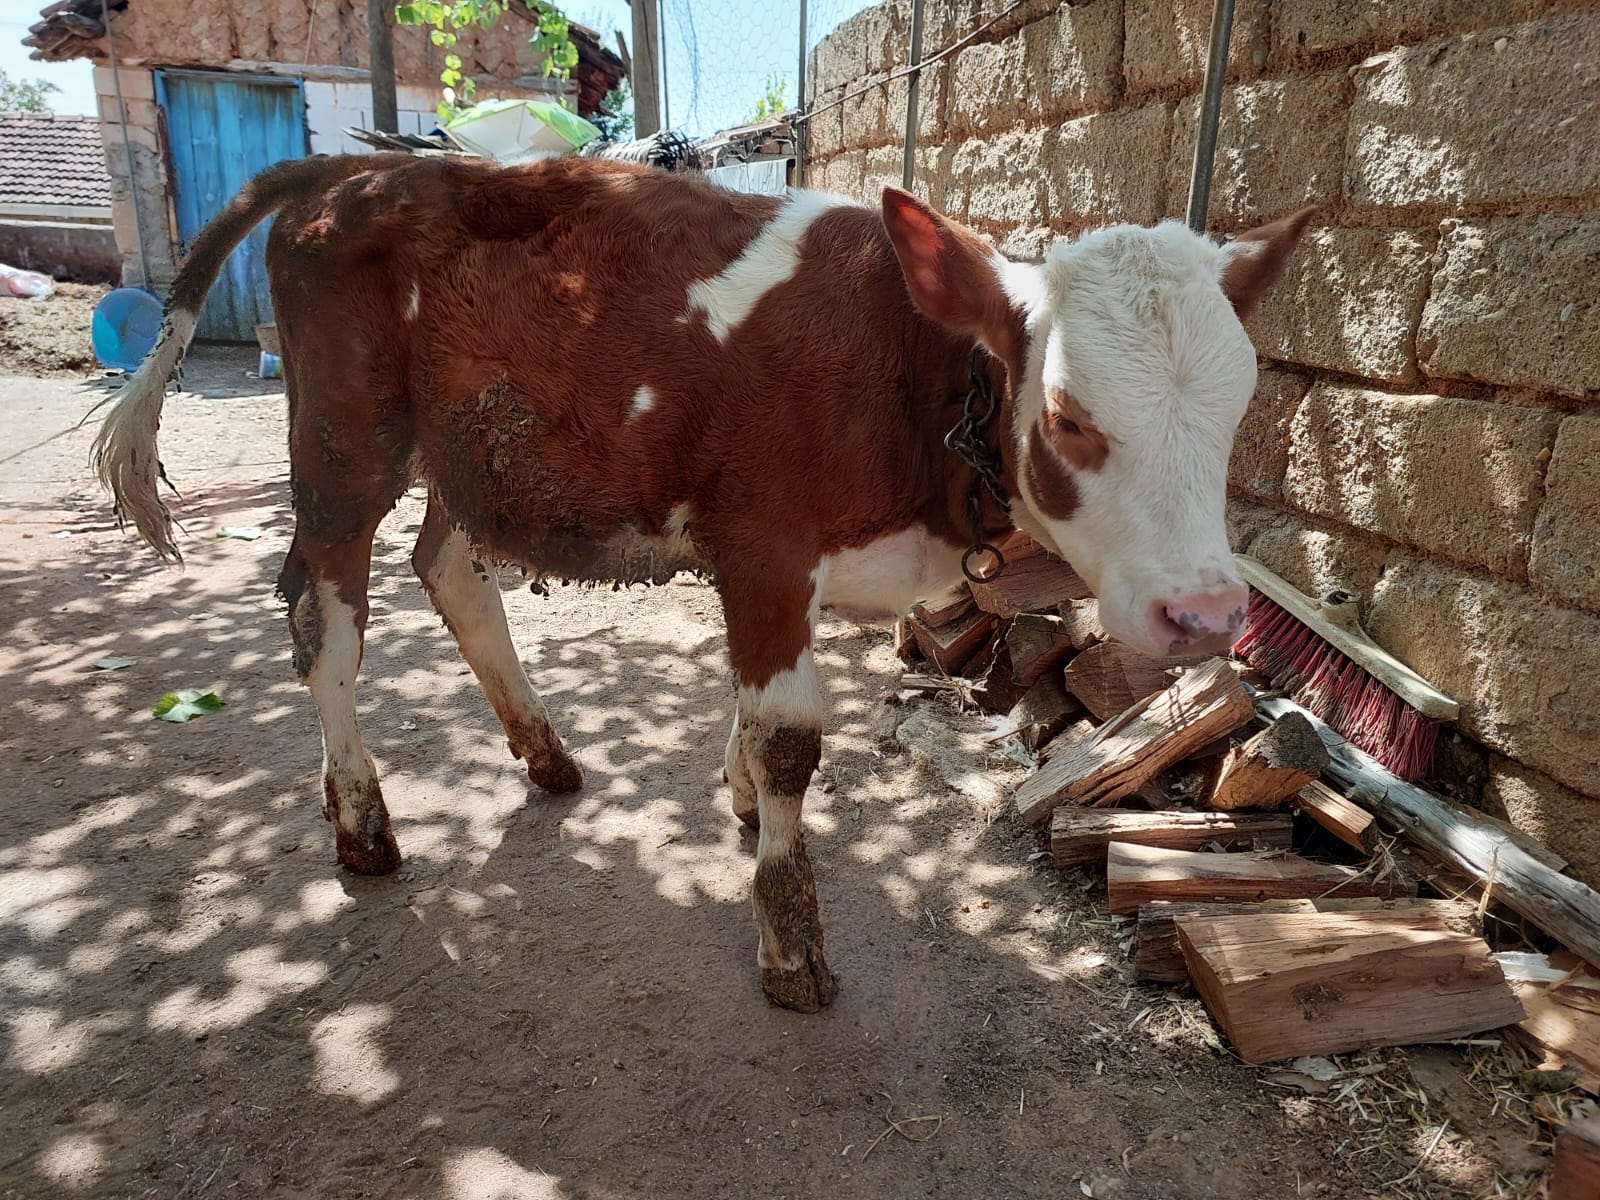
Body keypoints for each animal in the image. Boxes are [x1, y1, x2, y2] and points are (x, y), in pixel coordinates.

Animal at [93, 150, 1305, 1017]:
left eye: (1245, 403)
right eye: (1066, 418)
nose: (1205, 613)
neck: (912, 369)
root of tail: (351, 166)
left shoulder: (777, 567)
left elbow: (752, 711)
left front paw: (736, 796)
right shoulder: (763, 542)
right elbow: (790, 740)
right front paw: (789, 937)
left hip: (471, 450)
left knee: (449, 571)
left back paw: (544, 753)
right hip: (347, 447)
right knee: (326, 623)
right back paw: (362, 822)